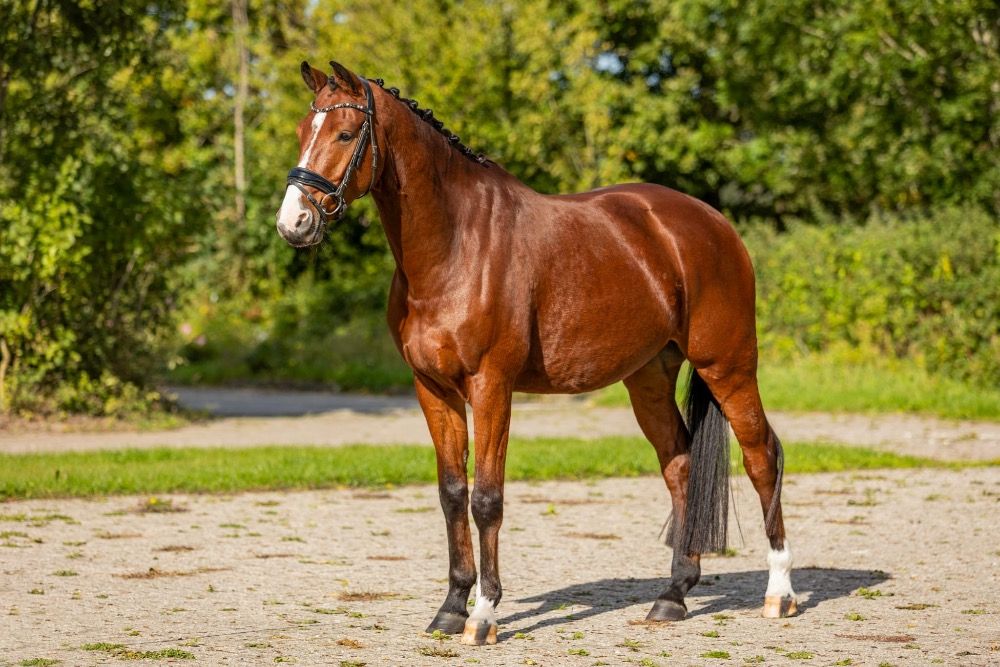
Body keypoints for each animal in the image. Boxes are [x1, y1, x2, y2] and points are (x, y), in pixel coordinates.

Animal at [276, 61, 795, 646]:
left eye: (345, 134)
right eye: (302, 131)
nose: (293, 223)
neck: (456, 245)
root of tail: (714, 224)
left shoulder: (491, 386)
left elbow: (486, 498)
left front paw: (483, 616)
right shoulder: (432, 389)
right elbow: (452, 493)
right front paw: (451, 608)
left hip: (728, 365)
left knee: (762, 457)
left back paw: (779, 593)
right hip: (649, 378)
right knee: (680, 466)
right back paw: (673, 595)